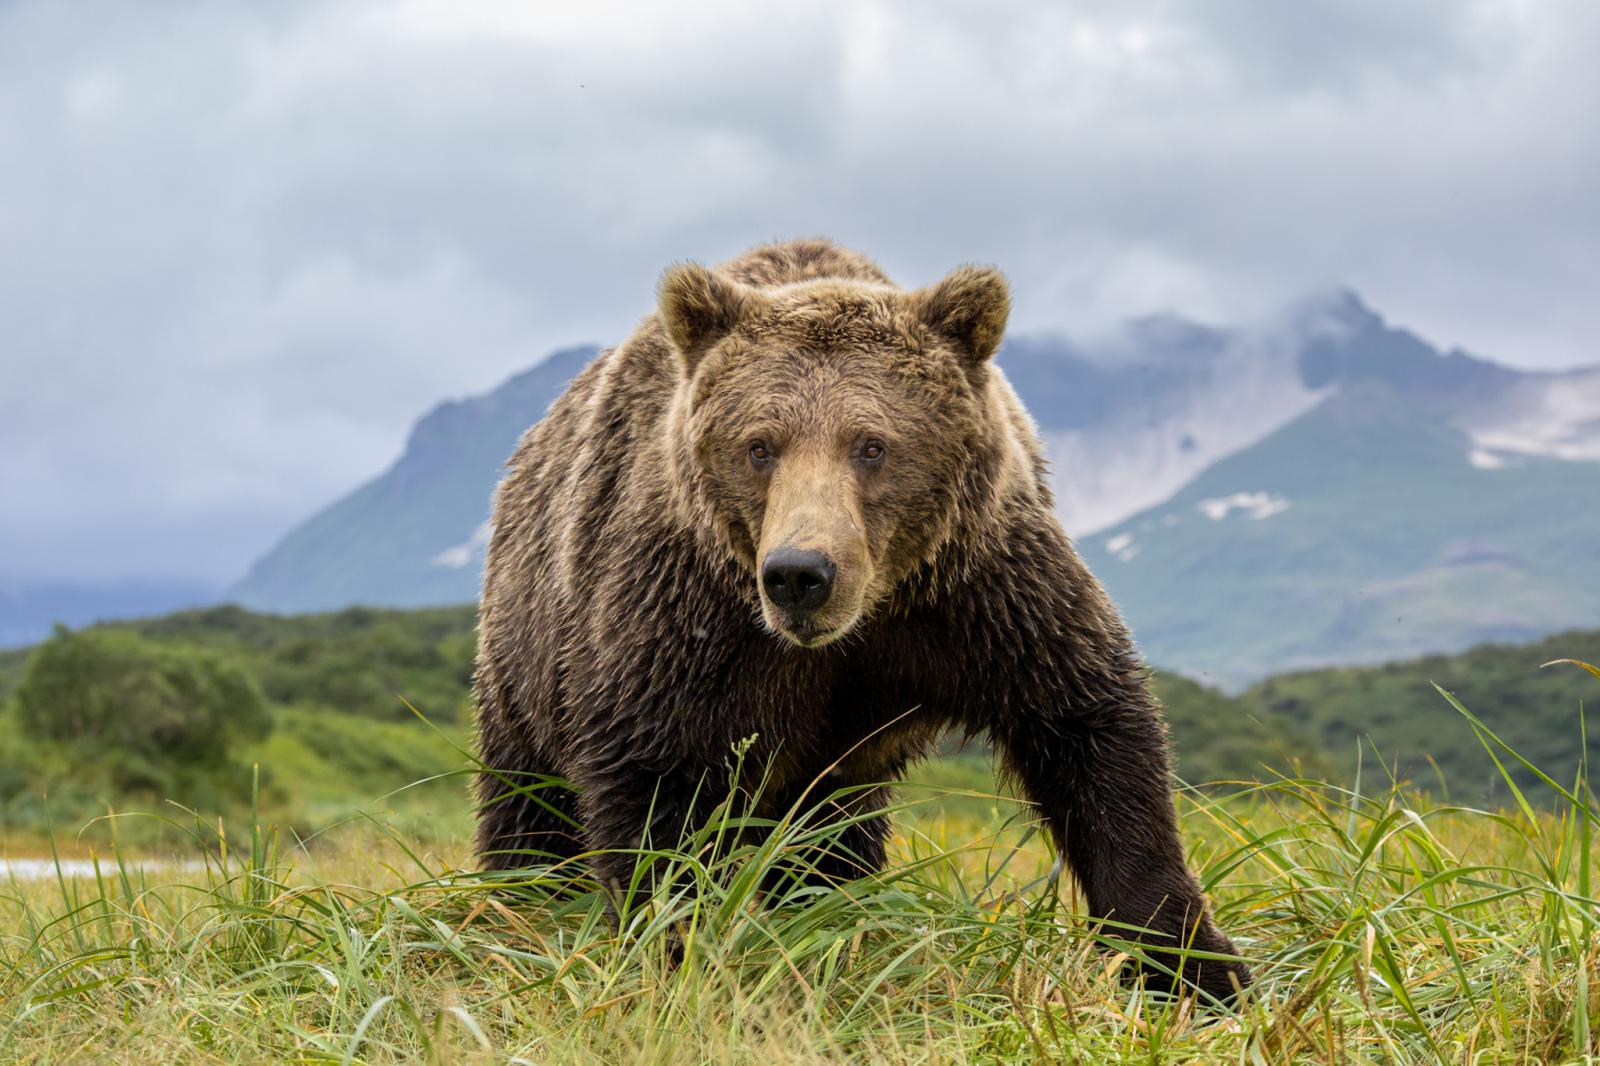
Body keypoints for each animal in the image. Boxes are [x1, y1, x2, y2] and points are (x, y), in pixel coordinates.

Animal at [470, 236, 1248, 992]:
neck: (863, 617)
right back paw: (519, 910)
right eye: (759, 446)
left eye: (872, 444)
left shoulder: (979, 591)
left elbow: (1090, 731)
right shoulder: (687, 614)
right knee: (528, 809)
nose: (799, 575)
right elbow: (659, 787)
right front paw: (679, 952)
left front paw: (1195, 970)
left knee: (829, 840)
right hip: (525, 655)